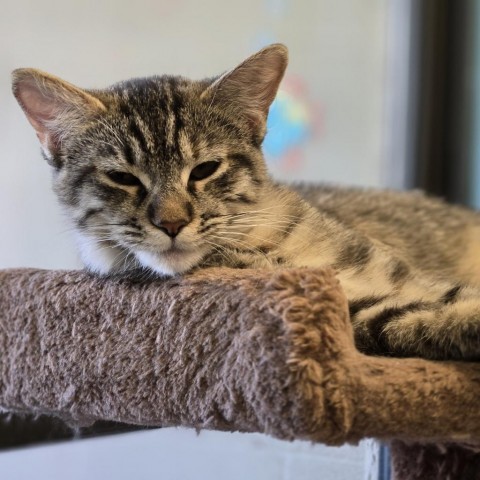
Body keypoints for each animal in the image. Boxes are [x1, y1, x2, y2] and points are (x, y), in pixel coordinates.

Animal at [12, 45, 480, 360]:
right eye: (123, 178)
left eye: (204, 169)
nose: (171, 223)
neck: (263, 244)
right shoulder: (352, 311)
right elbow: (420, 318)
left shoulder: (407, 279)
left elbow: (448, 296)